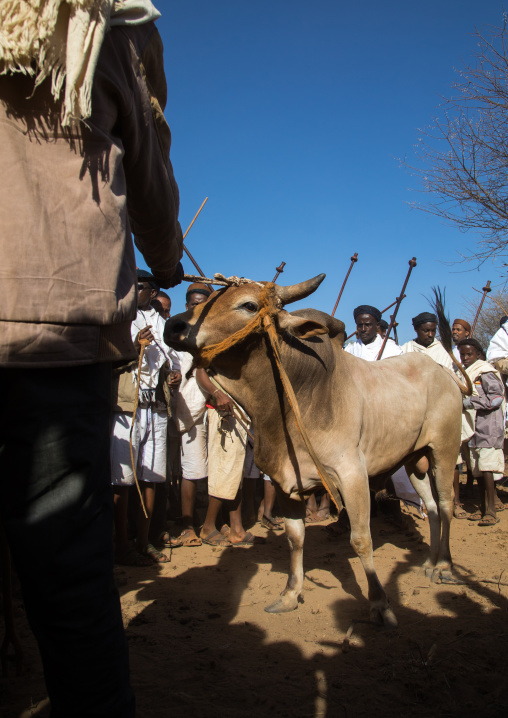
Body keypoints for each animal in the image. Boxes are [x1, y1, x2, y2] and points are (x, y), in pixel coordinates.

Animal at [164, 274, 468, 627]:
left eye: (249, 305)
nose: (172, 326)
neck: (299, 395)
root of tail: (444, 374)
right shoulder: (284, 482)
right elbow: (295, 538)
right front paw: (290, 595)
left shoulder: (352, 475)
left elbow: (361, 539)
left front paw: (380, 603)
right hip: (413, 461)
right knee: (431, 508)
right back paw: (430, 563)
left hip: (444, 451)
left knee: (445, 505)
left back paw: (445, 566)